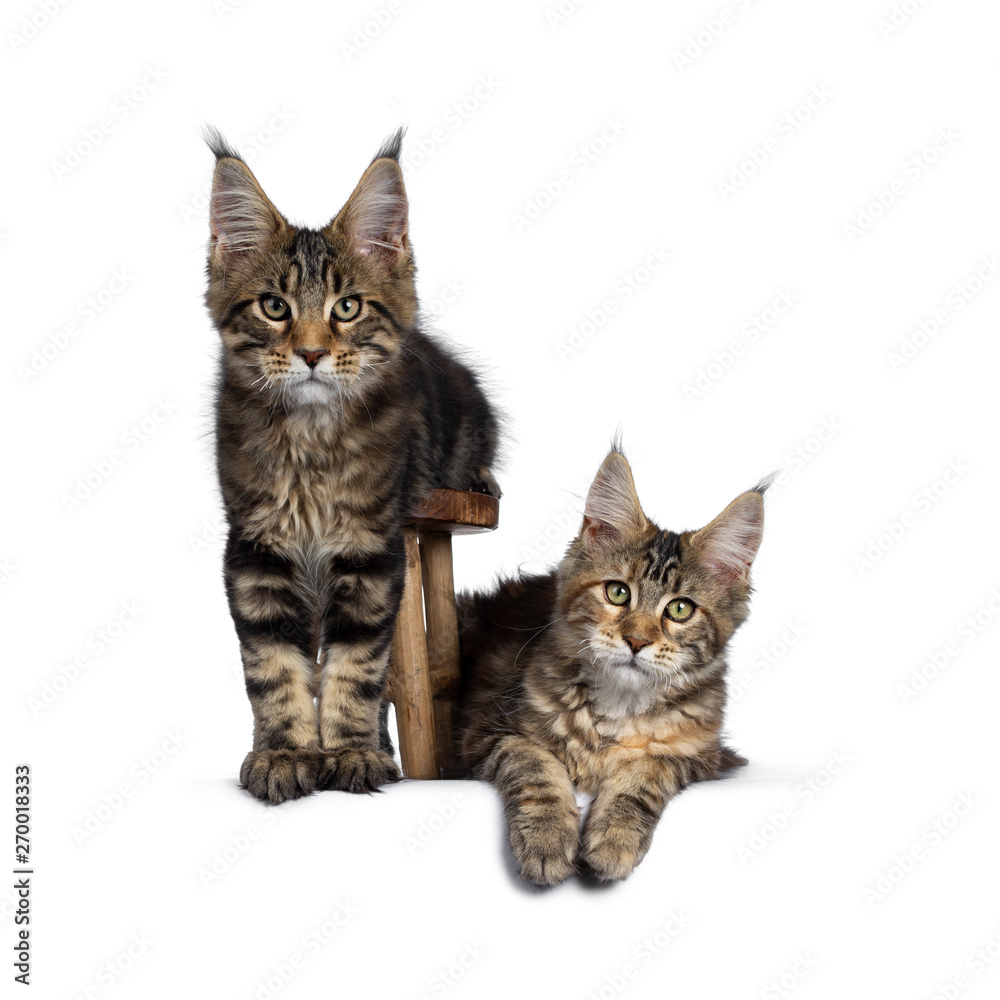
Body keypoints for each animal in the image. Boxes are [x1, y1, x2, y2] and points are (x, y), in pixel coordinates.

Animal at [205, 129, 498, 800]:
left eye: (347, 308)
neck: (311, 446)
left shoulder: (372, 551)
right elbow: (274, 669)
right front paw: (285, 753)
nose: (312, 353)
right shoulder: (256, 549)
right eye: (274, 307)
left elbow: (357, 669)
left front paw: (351, 753)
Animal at [458, 452, 768, 884]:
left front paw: (613, 840)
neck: (617, 708)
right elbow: (535, 768)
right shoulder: (488, 732)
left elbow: (644, 774)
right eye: (618, 592)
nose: (636, 641)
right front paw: (547, 840)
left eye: (680, 609)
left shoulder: (698, 756)